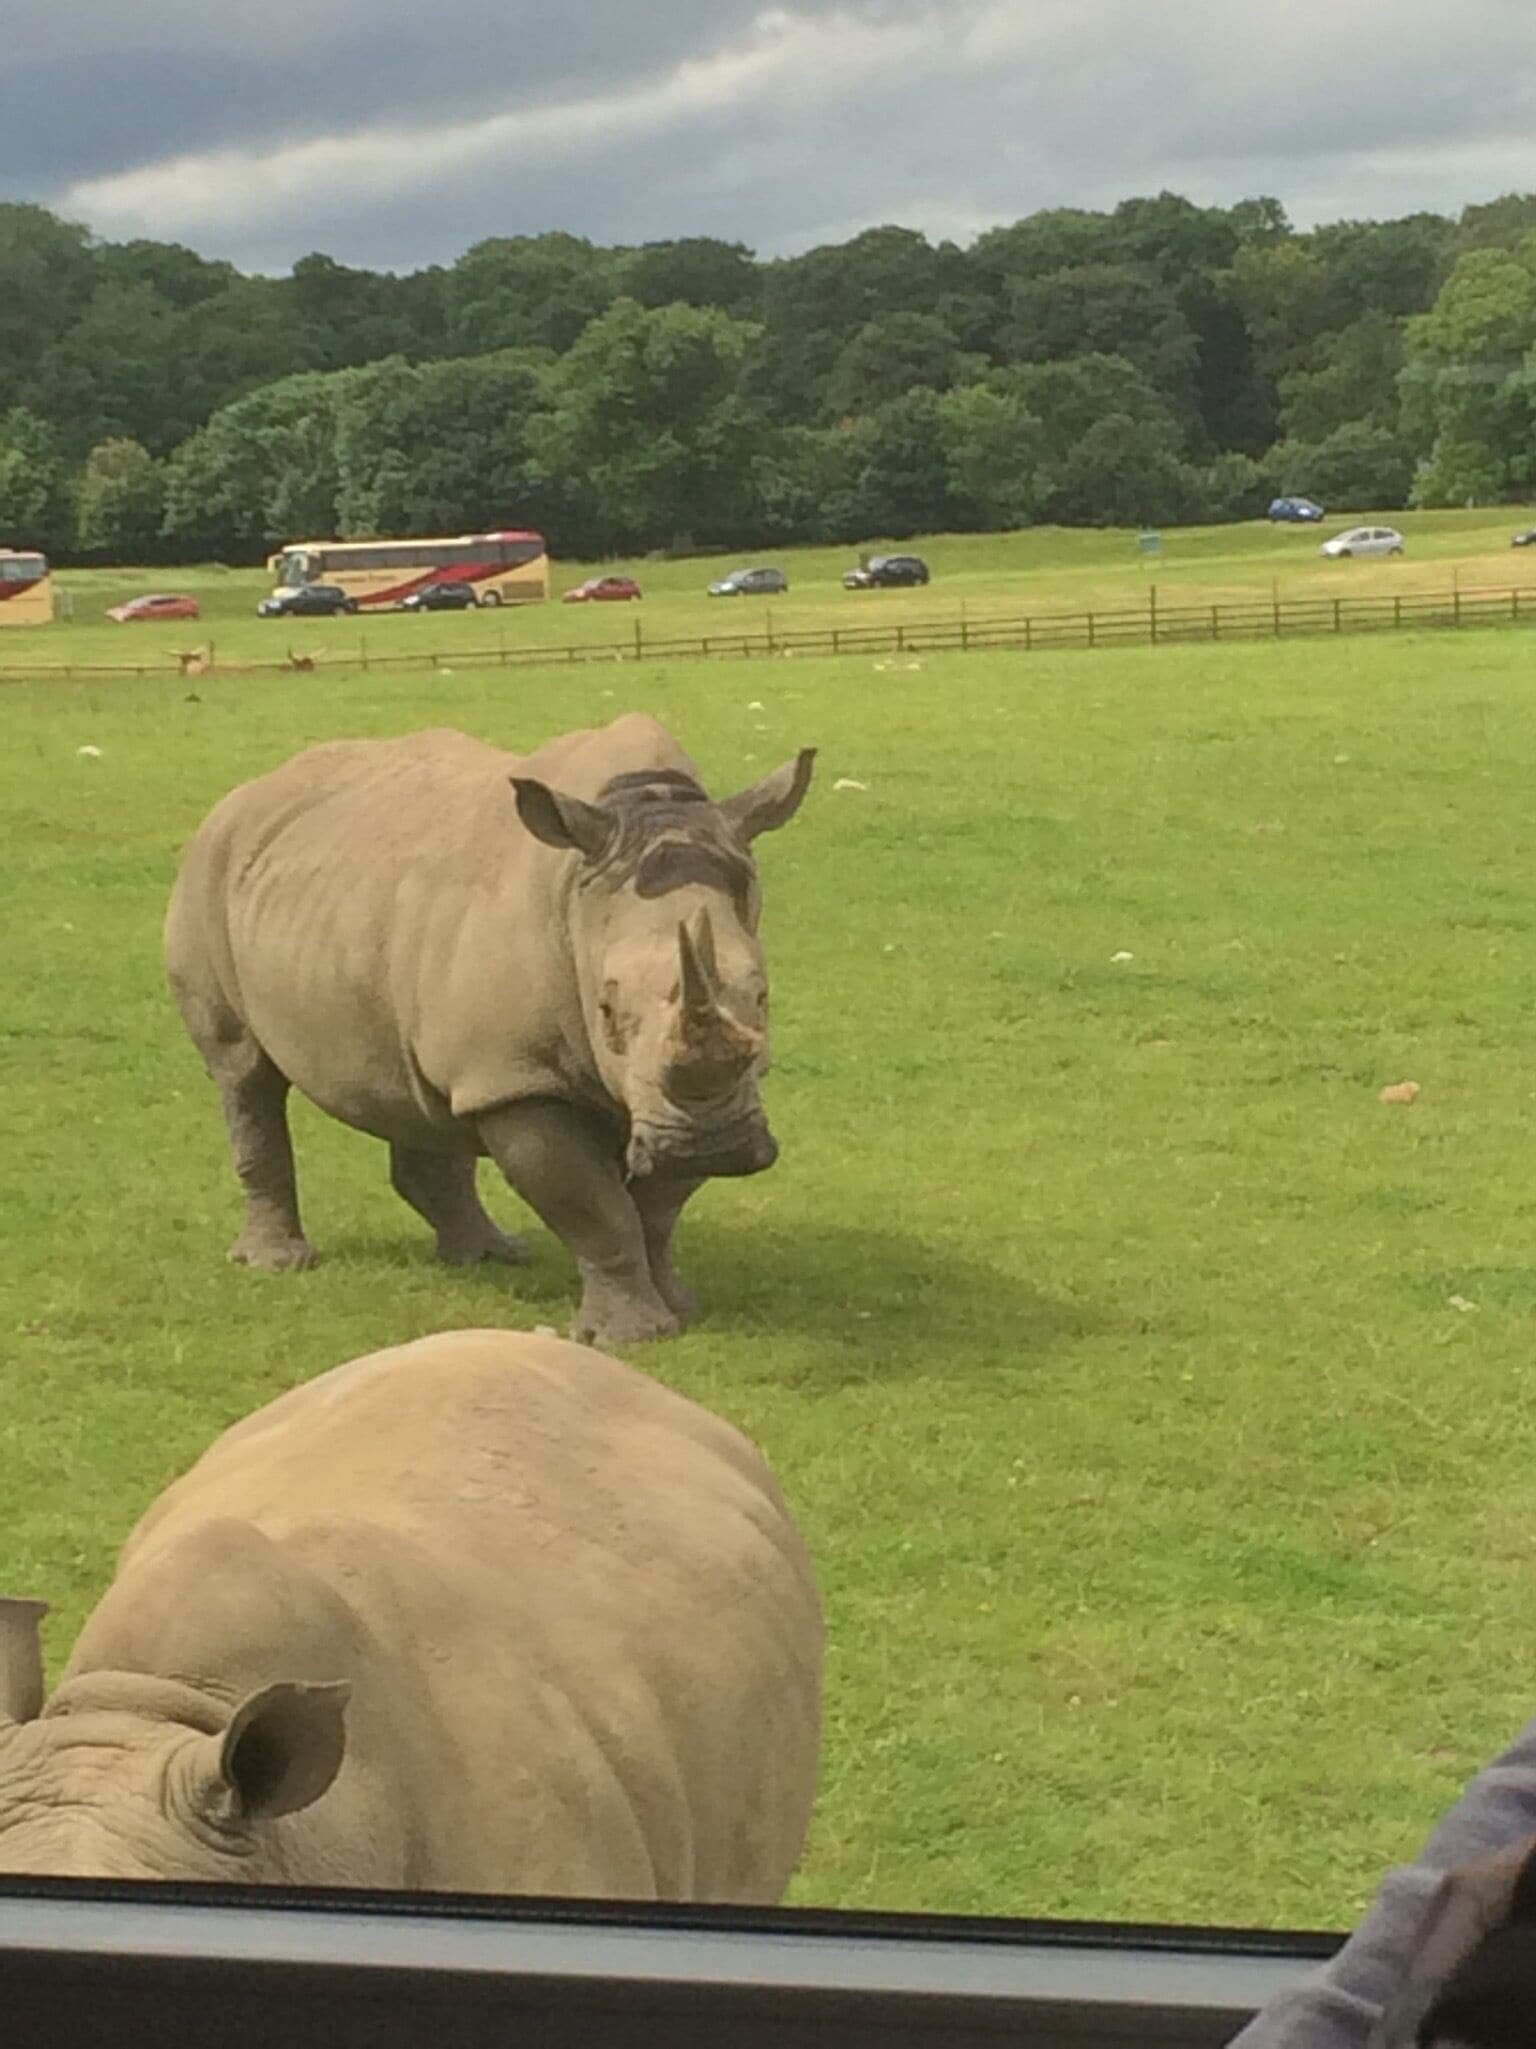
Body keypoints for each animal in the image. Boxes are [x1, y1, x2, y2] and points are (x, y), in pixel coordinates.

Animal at [165, 714, 814, 1346]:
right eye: (606, 1010)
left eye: (762, 996)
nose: (717, 1146)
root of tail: (249, 792)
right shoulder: (519, 1078)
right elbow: (597, 1211)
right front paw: (631, 1336)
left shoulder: (703, 1090)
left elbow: (658, 1209)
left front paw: (681, 1308)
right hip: (208, 874)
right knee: (244, 1073)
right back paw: (278, 1263)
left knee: (424, 1093)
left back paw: (488, 1255)